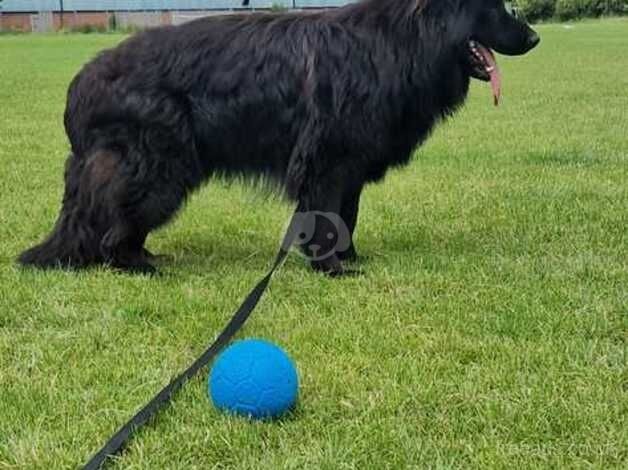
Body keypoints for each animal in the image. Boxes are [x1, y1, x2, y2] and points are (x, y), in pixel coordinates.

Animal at [19, 0, 540, 276]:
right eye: (495, 7)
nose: (535, 38)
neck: (398, 42)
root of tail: (81, 84)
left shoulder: (347, 170)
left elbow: (346, 217)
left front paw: (347, 257)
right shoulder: (326, 164)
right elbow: (329, 217)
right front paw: (332, 268)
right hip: (160, 171)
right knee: (114, 227)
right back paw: (137, 265)